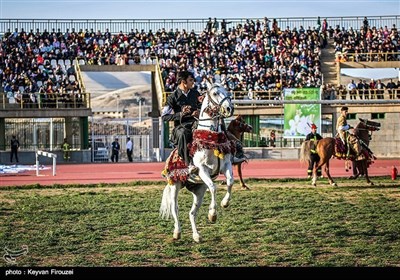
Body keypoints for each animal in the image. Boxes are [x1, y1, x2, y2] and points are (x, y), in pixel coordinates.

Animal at [159, 81, 234, 243]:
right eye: (215, 93)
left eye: (227, 91)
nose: (229, 109)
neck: (211, 140)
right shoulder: (202, 169)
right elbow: (213, 187)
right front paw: (212, 214)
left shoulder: (226, 166)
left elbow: (230, 181)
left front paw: (224, 203)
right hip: (175, 186)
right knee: (175, 209)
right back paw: (177, 232)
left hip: (198, 190)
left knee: (192, 213)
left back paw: (196, 236)